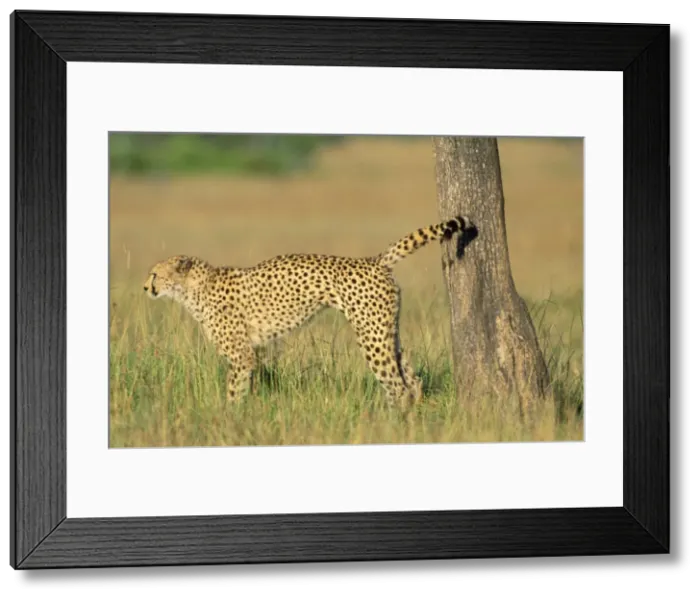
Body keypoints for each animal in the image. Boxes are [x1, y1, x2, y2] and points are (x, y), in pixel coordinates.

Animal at [143, 215, 474, 409]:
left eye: (155, 274)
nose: (145, 287)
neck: (194, 289)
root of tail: (373, 260)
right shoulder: (253, 353)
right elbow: (249, 387)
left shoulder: (241, 355)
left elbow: (234, 392)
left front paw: (230, 419)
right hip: (386, 330)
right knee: (411, 379)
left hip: (370, 336)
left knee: (396, 384)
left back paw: (389, 424)